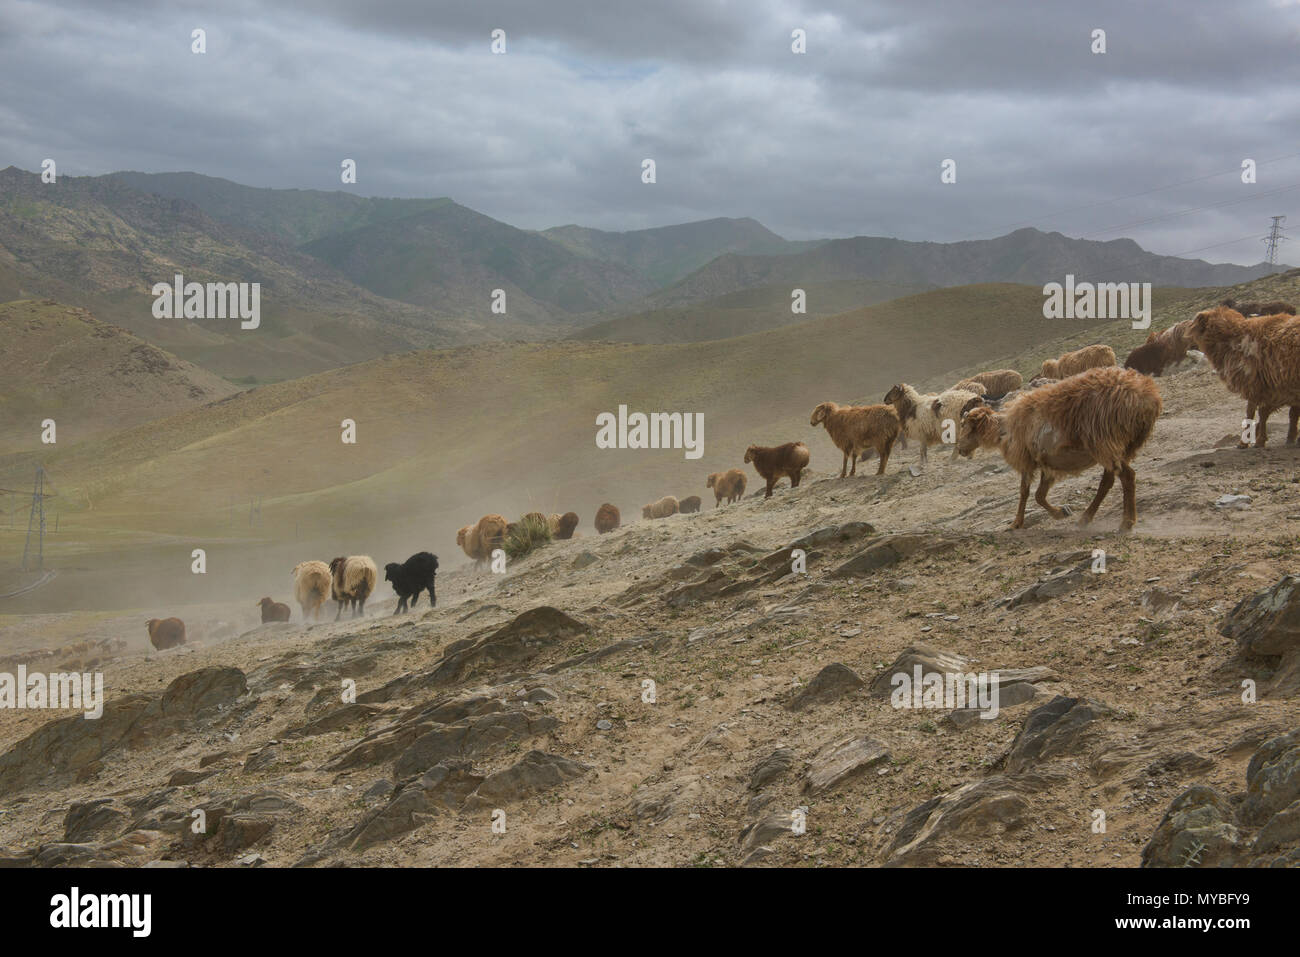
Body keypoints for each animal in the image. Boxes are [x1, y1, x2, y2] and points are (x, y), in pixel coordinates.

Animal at [956, 366, 1159, 530]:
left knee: (1127, 476)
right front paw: (1061, 513)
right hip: (1117, 446)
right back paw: (1085, 519)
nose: (959, 449)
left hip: (1104, 441)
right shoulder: (1047, 461)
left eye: (966, 425)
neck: (1003, 429)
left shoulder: (1027, 460)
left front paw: (1016, 523)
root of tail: (1144, 395)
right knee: (1108, 481)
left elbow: (1024, 492)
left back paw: (1127, 522)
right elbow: (1039, 495)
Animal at [1190, 304, 1300, 447]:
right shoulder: (1278, 388)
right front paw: (1290, 438)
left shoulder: (1257, 384)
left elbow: (1254, 413)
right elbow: (1289, 413)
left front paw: (1249, 442)